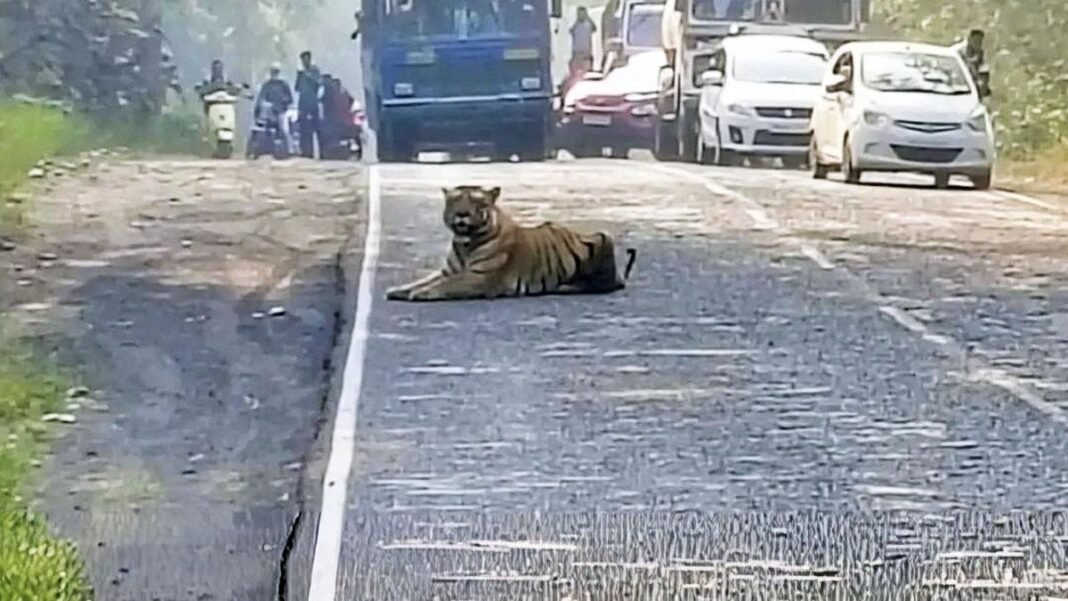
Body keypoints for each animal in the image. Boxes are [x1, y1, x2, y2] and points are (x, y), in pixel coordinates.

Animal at [385, 185, 637, 302]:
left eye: (477, 202)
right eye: (455, 201)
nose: (462, 214)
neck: (465, 245)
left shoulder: (480, 277)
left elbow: (446, 284)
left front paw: (420, 293)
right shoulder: (448, 270)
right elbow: (424, 280)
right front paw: (399, 290)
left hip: (603, 239)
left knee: (601, 284)